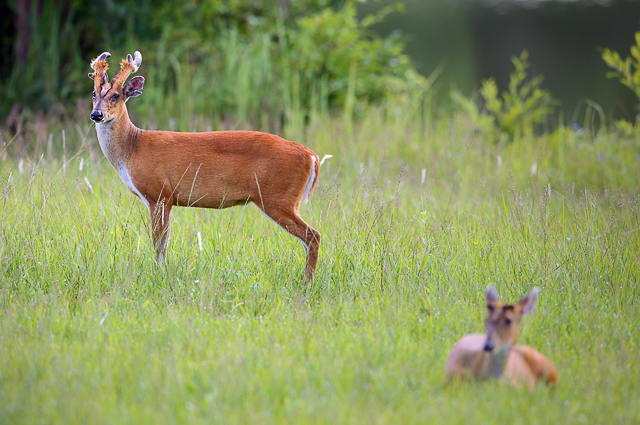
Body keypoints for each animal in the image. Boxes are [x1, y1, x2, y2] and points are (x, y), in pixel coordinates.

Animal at [86, 51, 320, 284]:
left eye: (116, 95)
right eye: (94, 93)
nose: (96, 115)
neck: (133, 148)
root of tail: (312, 156)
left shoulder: (159, 193)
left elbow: (159, 244)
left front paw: (158, 274)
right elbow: (163, 242)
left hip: (277, 197)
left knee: (313, 235)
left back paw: (307, 283)